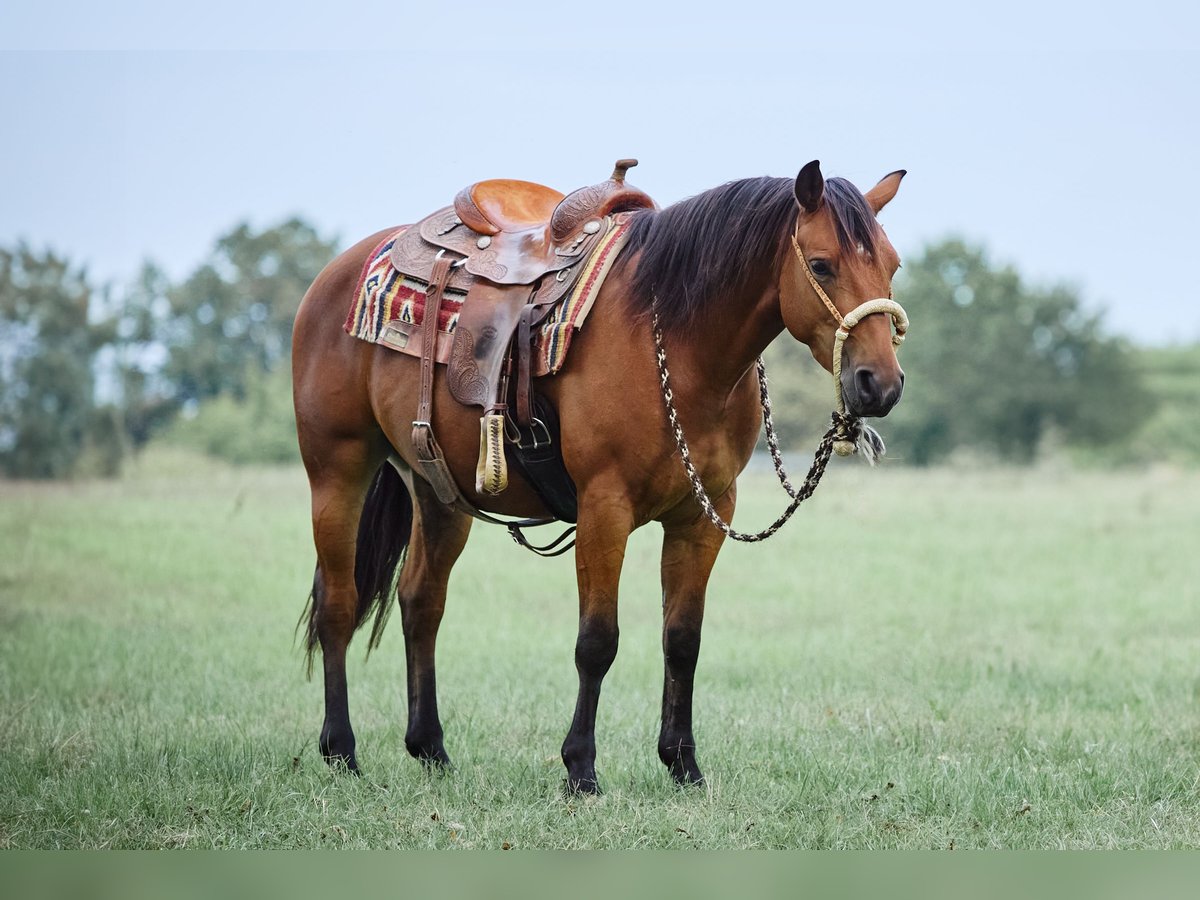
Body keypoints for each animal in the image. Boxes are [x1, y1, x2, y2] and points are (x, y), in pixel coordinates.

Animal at [292, 158, 907, 792]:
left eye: (892, 265)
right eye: (822, 264)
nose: (880, 384)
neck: (678, 345)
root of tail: (342, 268)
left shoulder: (705, 513)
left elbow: (682, 640)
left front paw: (683, 763)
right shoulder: (604, 509)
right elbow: (597, 642)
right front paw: (580, 768)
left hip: (438, 492)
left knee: (421, 602)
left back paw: (431, 748)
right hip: (337, 471)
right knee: (338, 603)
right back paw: (341, 749)